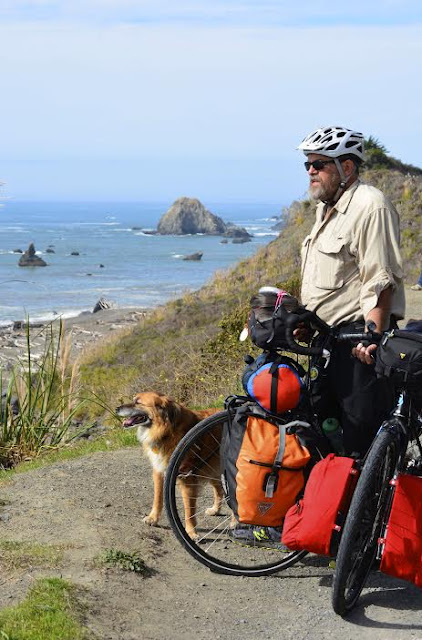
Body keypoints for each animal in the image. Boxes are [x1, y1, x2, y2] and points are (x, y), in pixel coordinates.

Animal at [115, 392, 224, 536]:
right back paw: (215, 510)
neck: (166, 431)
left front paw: (190, 532)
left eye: (138, 402)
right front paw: (153, 518)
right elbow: (158, 498)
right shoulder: (159, 471)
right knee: (220, 490)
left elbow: (189, 510)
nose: (116, 408)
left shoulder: (187, 478)